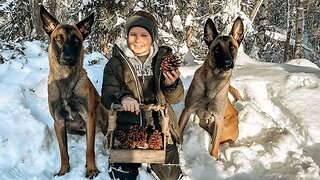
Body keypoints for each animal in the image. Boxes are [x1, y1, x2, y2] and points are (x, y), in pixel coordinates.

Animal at [39, 4, 109, 178]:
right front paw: (63, 171)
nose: (68, 58)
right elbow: (63, 151)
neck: (66, 80)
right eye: (58, 38)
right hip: (70, 128)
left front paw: (91, 169)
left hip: (100, 111)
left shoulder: (89, 116)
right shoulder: (58, 121)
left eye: (76, 39)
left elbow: (89, 149)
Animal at [179, 17, 244, 159]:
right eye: (217, 48)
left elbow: (215, 146)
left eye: (232, 47)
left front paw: (214, 159)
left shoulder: (218, 120)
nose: (227, 62)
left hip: (223, 129)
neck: (214, 81)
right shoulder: (188, 109)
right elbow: (179, 129)